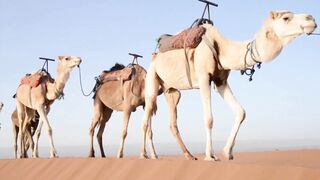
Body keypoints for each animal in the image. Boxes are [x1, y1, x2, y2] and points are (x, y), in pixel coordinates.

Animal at [141, 11, 318, 160]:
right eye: (286, 18)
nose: (311, 19)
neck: (222, 49)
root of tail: (155, 55)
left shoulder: (221, 82)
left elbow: (241, 112)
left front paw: (227, 152)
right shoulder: (204, 78)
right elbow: (209, 118)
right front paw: (209, 156)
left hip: (172, 91)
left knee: (172, 121)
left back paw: (188, 155)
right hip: (152, 78)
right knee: (146, 117)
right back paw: (147, 155)